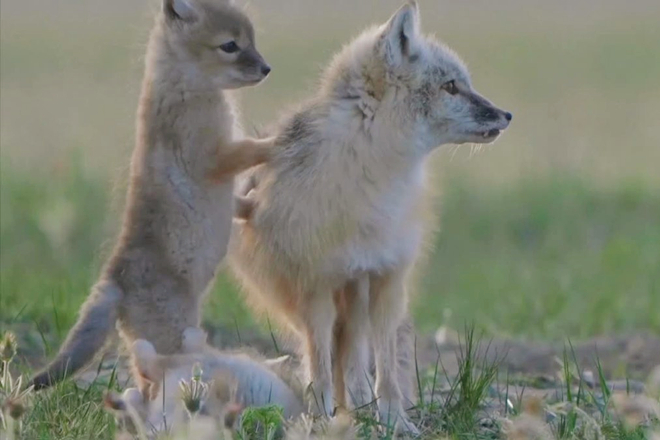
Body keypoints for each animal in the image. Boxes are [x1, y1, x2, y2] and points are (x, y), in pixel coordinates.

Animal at [32, 0, 273, 389]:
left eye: (251, 40)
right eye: (230, 46)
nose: (267, 68)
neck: (181, 83)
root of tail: (114, 279)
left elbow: (238, 199)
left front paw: (252, 202)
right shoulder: (217, 157)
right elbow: (253, 148)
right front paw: (280, 139)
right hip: (173, 338)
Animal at [228, 1, 511, 433]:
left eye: (463, 83)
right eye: (450, 87)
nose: (507, 115)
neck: (371, 183)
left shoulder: (386, 279)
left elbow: (386, 371)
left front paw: (395, 422)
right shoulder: (316, 287)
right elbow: (321, 368)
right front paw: (322, 419)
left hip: (356, 294)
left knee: (356, 361)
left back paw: (361, 409)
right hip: (307, 300)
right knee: (330, 356)